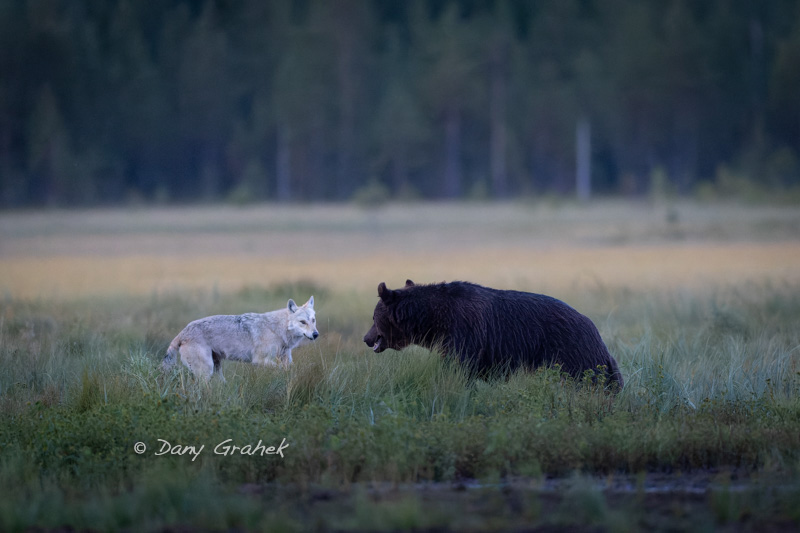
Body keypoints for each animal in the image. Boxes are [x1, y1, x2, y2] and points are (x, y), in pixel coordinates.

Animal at [164, 296, 318, 378]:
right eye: (303, 322)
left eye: (313, 320)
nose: (316, 334)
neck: (278, 329)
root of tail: (183, 332)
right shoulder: (260, 360)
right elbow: (279, 368)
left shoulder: (287, 360)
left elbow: (290, 371)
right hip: (207, 371)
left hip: (216, 369)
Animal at [364, 280, 624, 388]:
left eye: (373, 317)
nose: (366, 338)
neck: (433, 320)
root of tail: (595, 330)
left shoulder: (465, 333)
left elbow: (458, 367)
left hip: (570, 350)